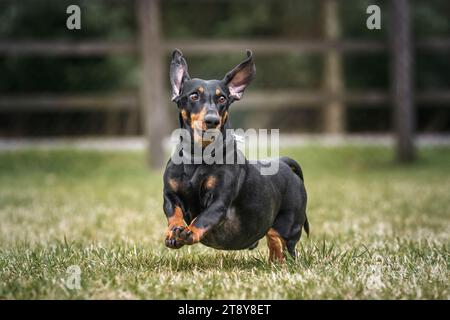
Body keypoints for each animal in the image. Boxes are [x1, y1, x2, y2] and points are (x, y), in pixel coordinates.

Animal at [163, 48, 310, 262]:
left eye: (222, 98)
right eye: (193, 96)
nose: (212, 120)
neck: (198, 156)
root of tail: (283, 163)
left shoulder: (219, 201)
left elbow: (202, 217)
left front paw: (189, 231)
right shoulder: (170, 195)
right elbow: (173, 212)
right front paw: (174, 231)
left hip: (288, 227)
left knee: (285, 246)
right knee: (275, 245)